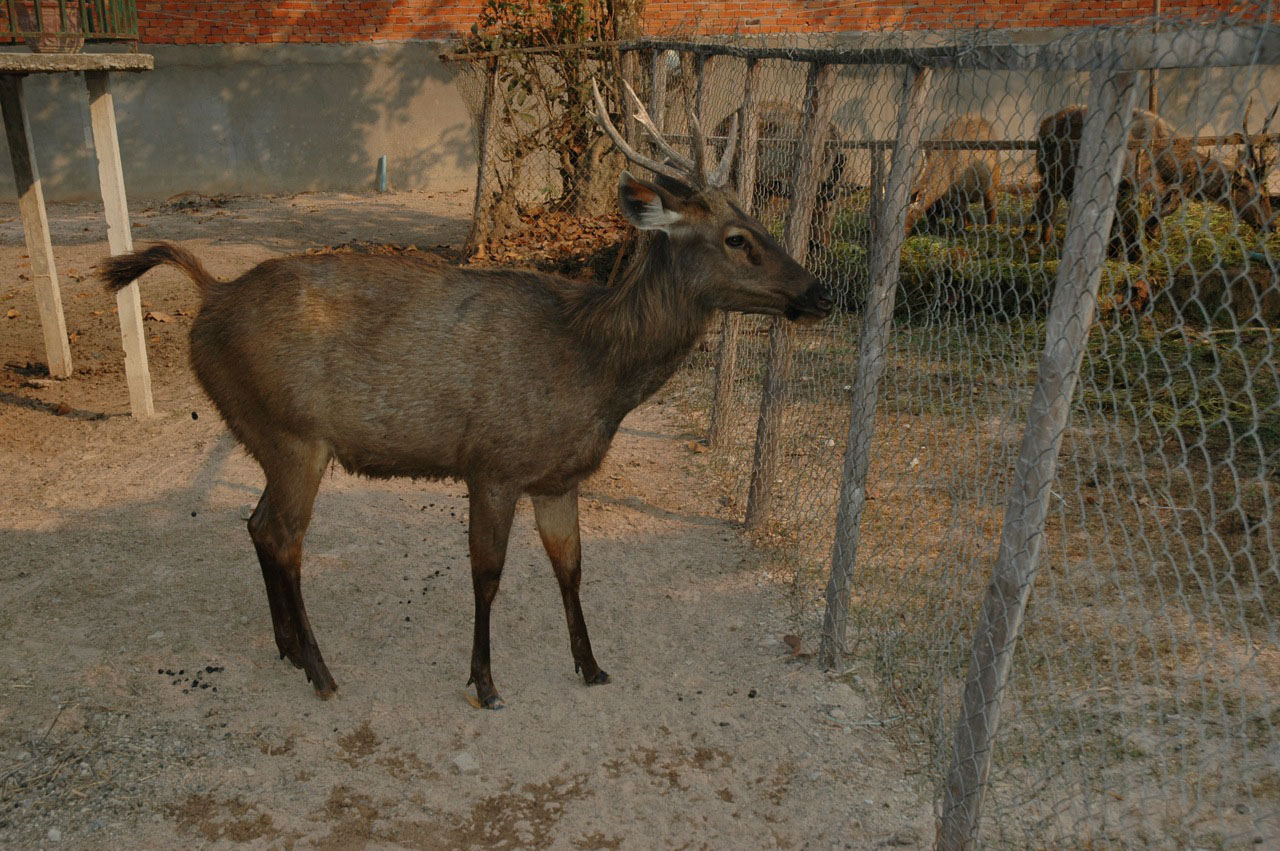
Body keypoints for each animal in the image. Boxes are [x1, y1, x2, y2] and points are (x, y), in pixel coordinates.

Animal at [98, 80, 831, 710]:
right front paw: (485, 682)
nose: (821, 292)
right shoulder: (492, 462)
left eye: (758, 221)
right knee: (282, 535)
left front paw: (591, 665)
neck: (593, 370)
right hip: (292, 433)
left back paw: (286, 648)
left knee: (255, 523)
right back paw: (321, 669)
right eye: (737, 239)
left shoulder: (559, 477)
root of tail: (210, 294)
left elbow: (571, 568)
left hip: (264, 435)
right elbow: (488, 573)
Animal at [1033, 103, 1276, 261]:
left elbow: (1153, 226)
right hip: (1049, 175)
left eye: (1266, 193)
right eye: (1259, 195)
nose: (1272, 225)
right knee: (1046, 208)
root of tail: (1042, 125)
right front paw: (1119, 254)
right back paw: (1045, 244)